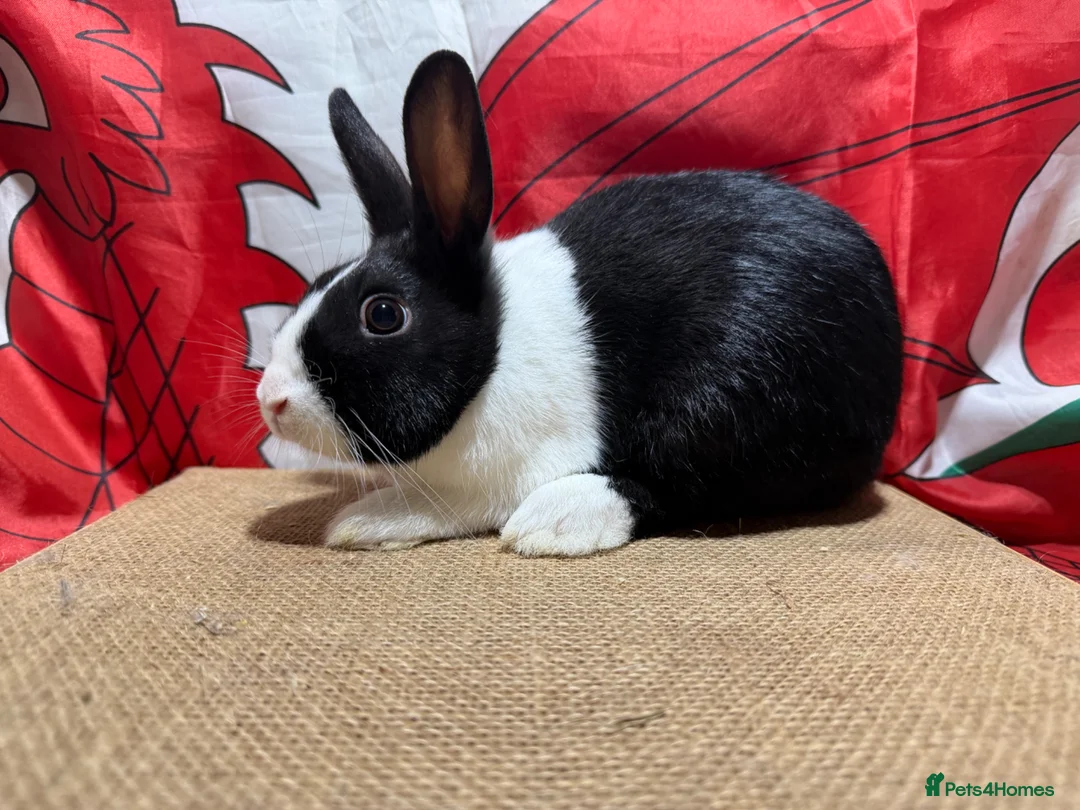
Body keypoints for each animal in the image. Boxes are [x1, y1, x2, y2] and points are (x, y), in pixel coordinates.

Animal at [255, 50, 903, 557]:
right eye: (319, 281)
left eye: (383, 314)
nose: (271, 400)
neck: (493, 353)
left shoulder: (492, 479)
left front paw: (367, 520)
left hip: (724, 409)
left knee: (682, 489)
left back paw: (557, 521)